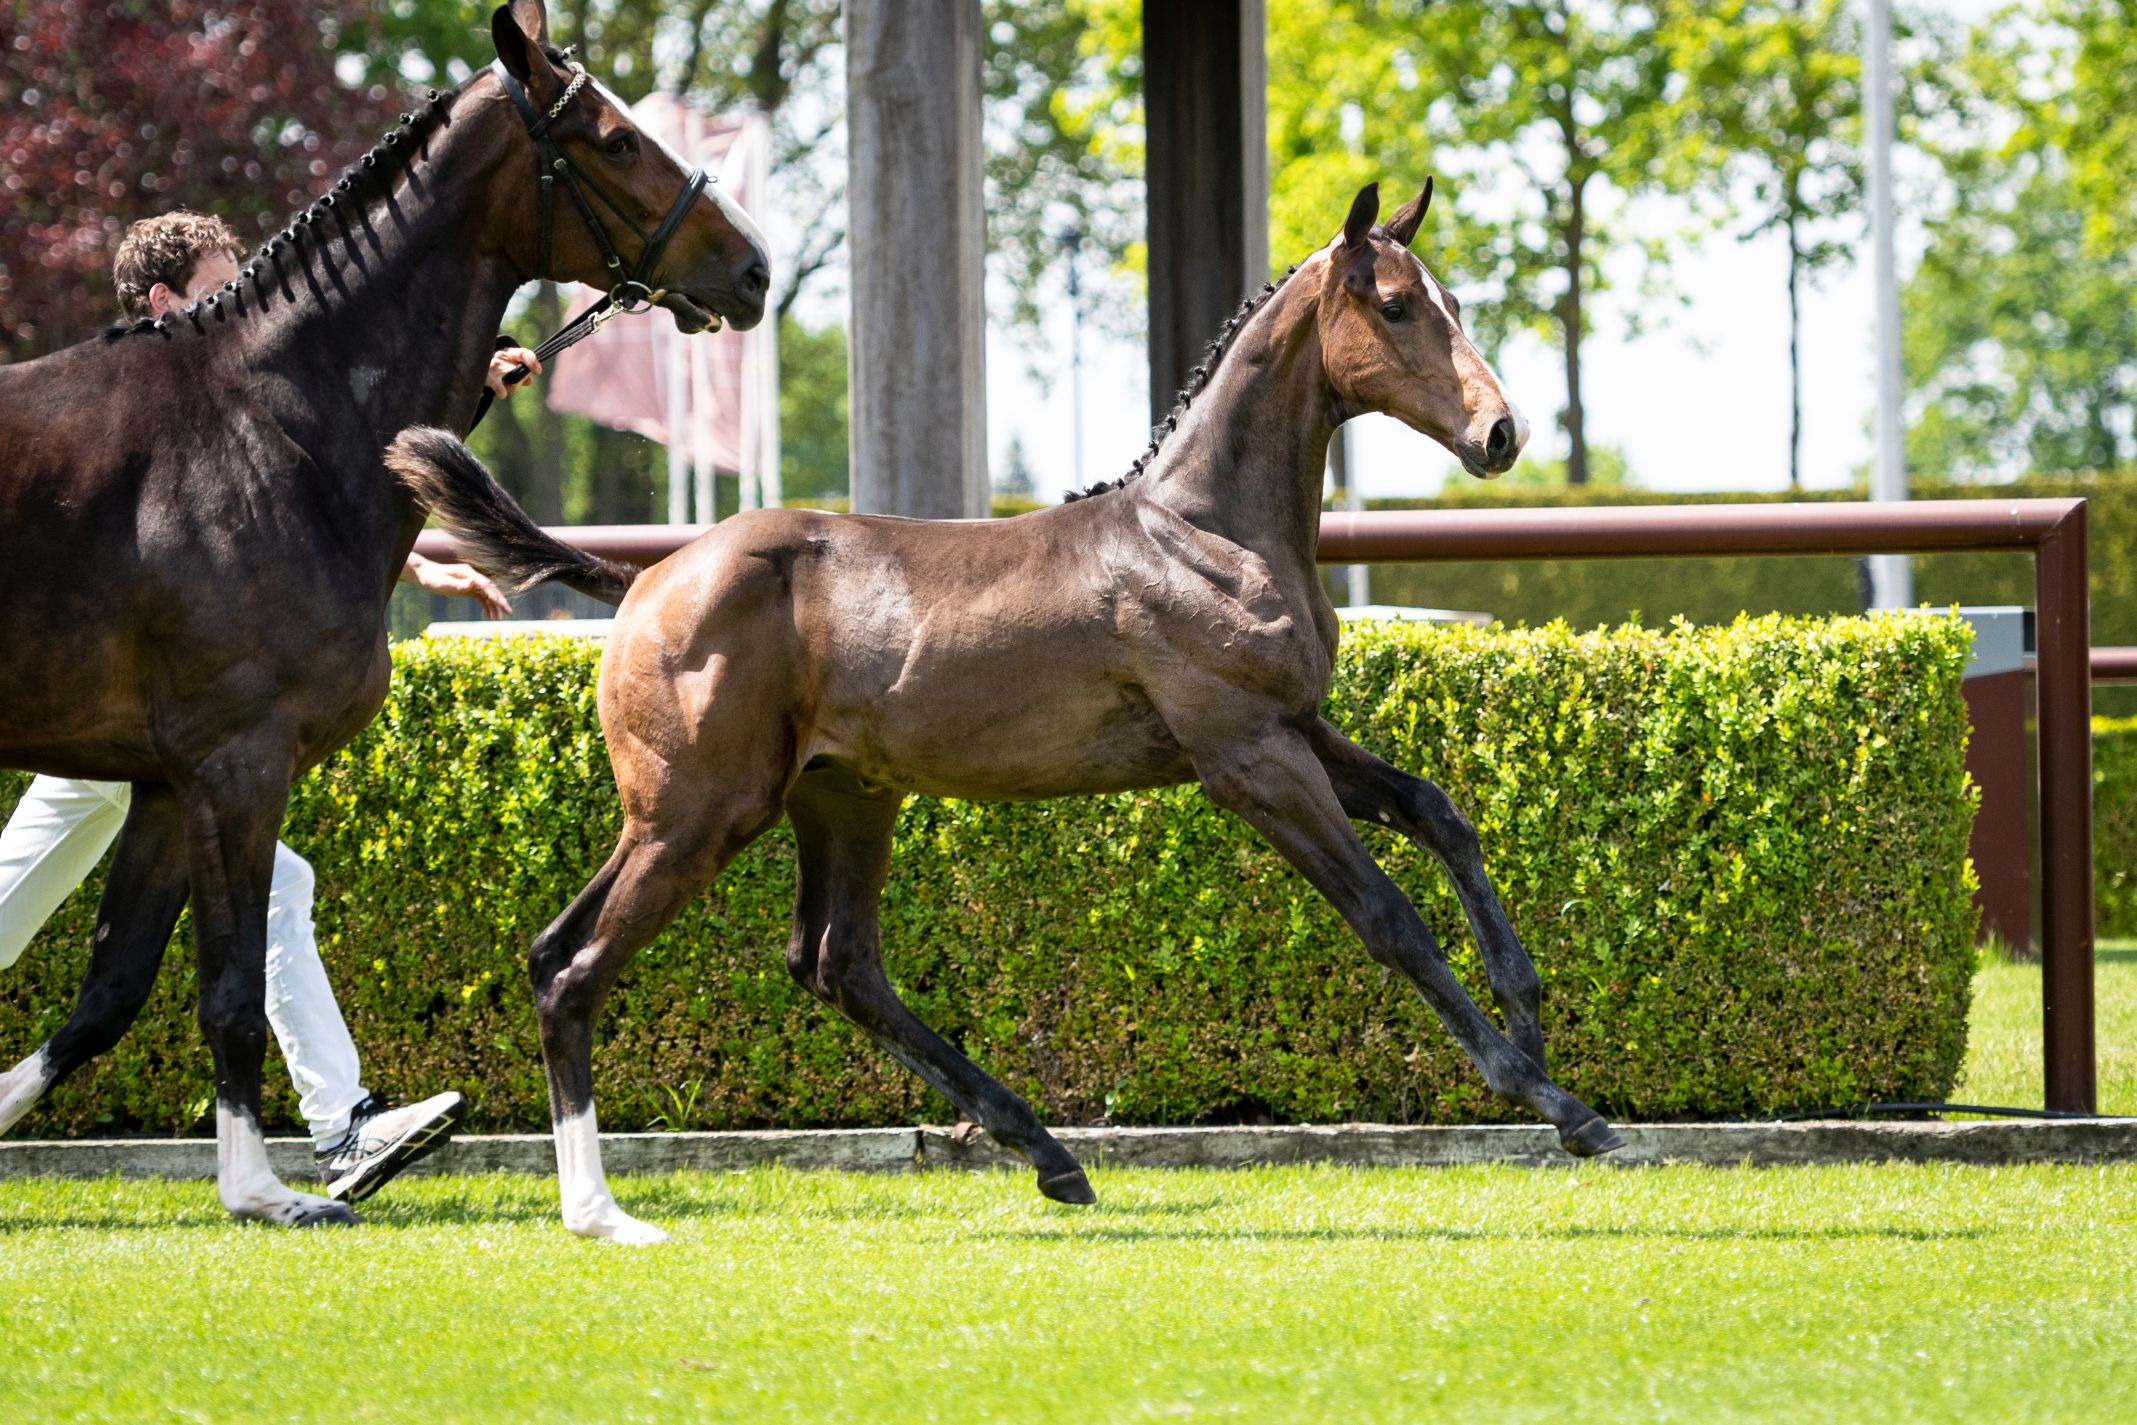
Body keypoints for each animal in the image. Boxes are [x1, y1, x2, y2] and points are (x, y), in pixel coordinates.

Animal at [0, 0, 767, 1228]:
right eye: (613, 140)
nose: (753, 270)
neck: (264, 432)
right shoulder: (238, 764)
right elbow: (225, 987)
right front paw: (265, 1194)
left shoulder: (163, 784)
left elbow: (110, 992)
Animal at [391, 178, 1624, 1245]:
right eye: (1398, 305)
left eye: (1450, 301)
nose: (1500, 434)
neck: (1204, 533)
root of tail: (646, 576)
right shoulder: (1245, 757)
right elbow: (1385, 914)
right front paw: (1554, 1100)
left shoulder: (1298, 729)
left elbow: (1436, 808)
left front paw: (1528, 1010)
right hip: (700, 814)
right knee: (579, 970)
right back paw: (599, 1213)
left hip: (828, 799)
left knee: (813, 960)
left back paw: (1047, 1152)